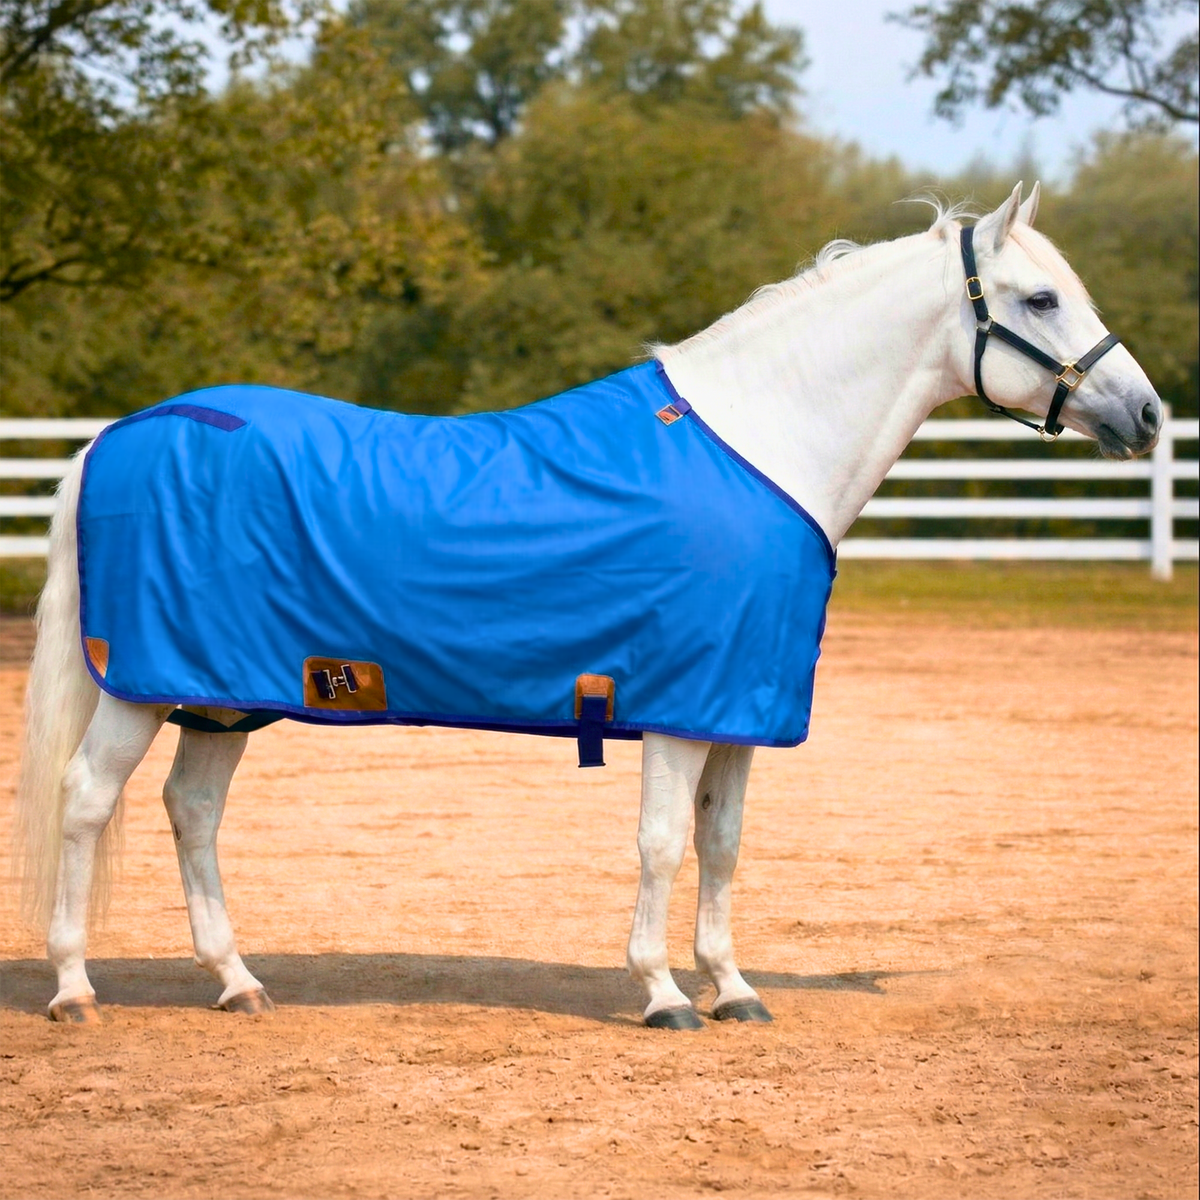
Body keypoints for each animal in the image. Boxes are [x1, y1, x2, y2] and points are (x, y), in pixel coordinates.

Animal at [12, 183, 1162, 1029]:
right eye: (1040, 299)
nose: (1148, 414)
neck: (760, 442)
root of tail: (116, 434)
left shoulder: (736, 708)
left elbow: (722, 844)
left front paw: (733, 989)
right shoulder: (679, 705)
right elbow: (661, 843)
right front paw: (661, 995)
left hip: (221, 691)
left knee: (192, 812)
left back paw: (238, 982)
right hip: (139, 688)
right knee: (87, 802)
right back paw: (74, 989)